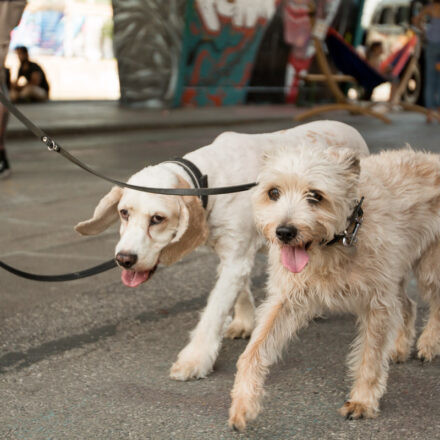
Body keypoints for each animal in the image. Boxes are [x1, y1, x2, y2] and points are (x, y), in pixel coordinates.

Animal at [75, 121, 368, 382]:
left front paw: (195, 359)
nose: (124, 259)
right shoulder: (232, 256)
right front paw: (245, 322)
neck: (209, 182)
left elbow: (213, 312)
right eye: (124, 213)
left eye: (157, 219)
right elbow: (240, 291)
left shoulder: (236, 259)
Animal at [229, 144, 440, 430]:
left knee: (435, 302)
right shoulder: (285, 300)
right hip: (395, 275)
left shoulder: (377, 304)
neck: (338, 239)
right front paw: (243, 403)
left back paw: (429, 343)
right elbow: (253, 351)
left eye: (315, 196)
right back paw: (398, 347)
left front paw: (363, 401)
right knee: (408, 305)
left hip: (429, 268)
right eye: (273, 192)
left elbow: (370, 357)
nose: (284, 232)